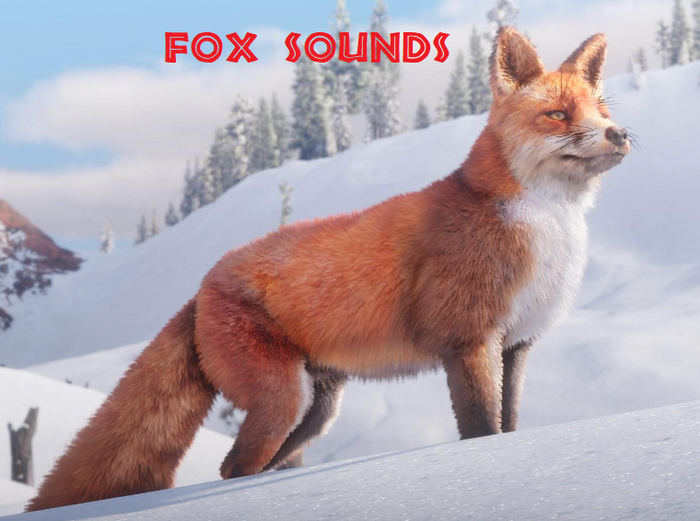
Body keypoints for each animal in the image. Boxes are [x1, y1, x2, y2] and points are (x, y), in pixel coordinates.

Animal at [27, 27, 630, 511]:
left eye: (602, 111)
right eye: (558, 115)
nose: (620, 133)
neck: (544, 230)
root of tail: (201, 287)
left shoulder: (517, 345)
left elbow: (510, 425)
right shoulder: (469, 339)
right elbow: (482, 430)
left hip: (315, 411)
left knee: (247, 465)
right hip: (282, 400)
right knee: (232, 468)